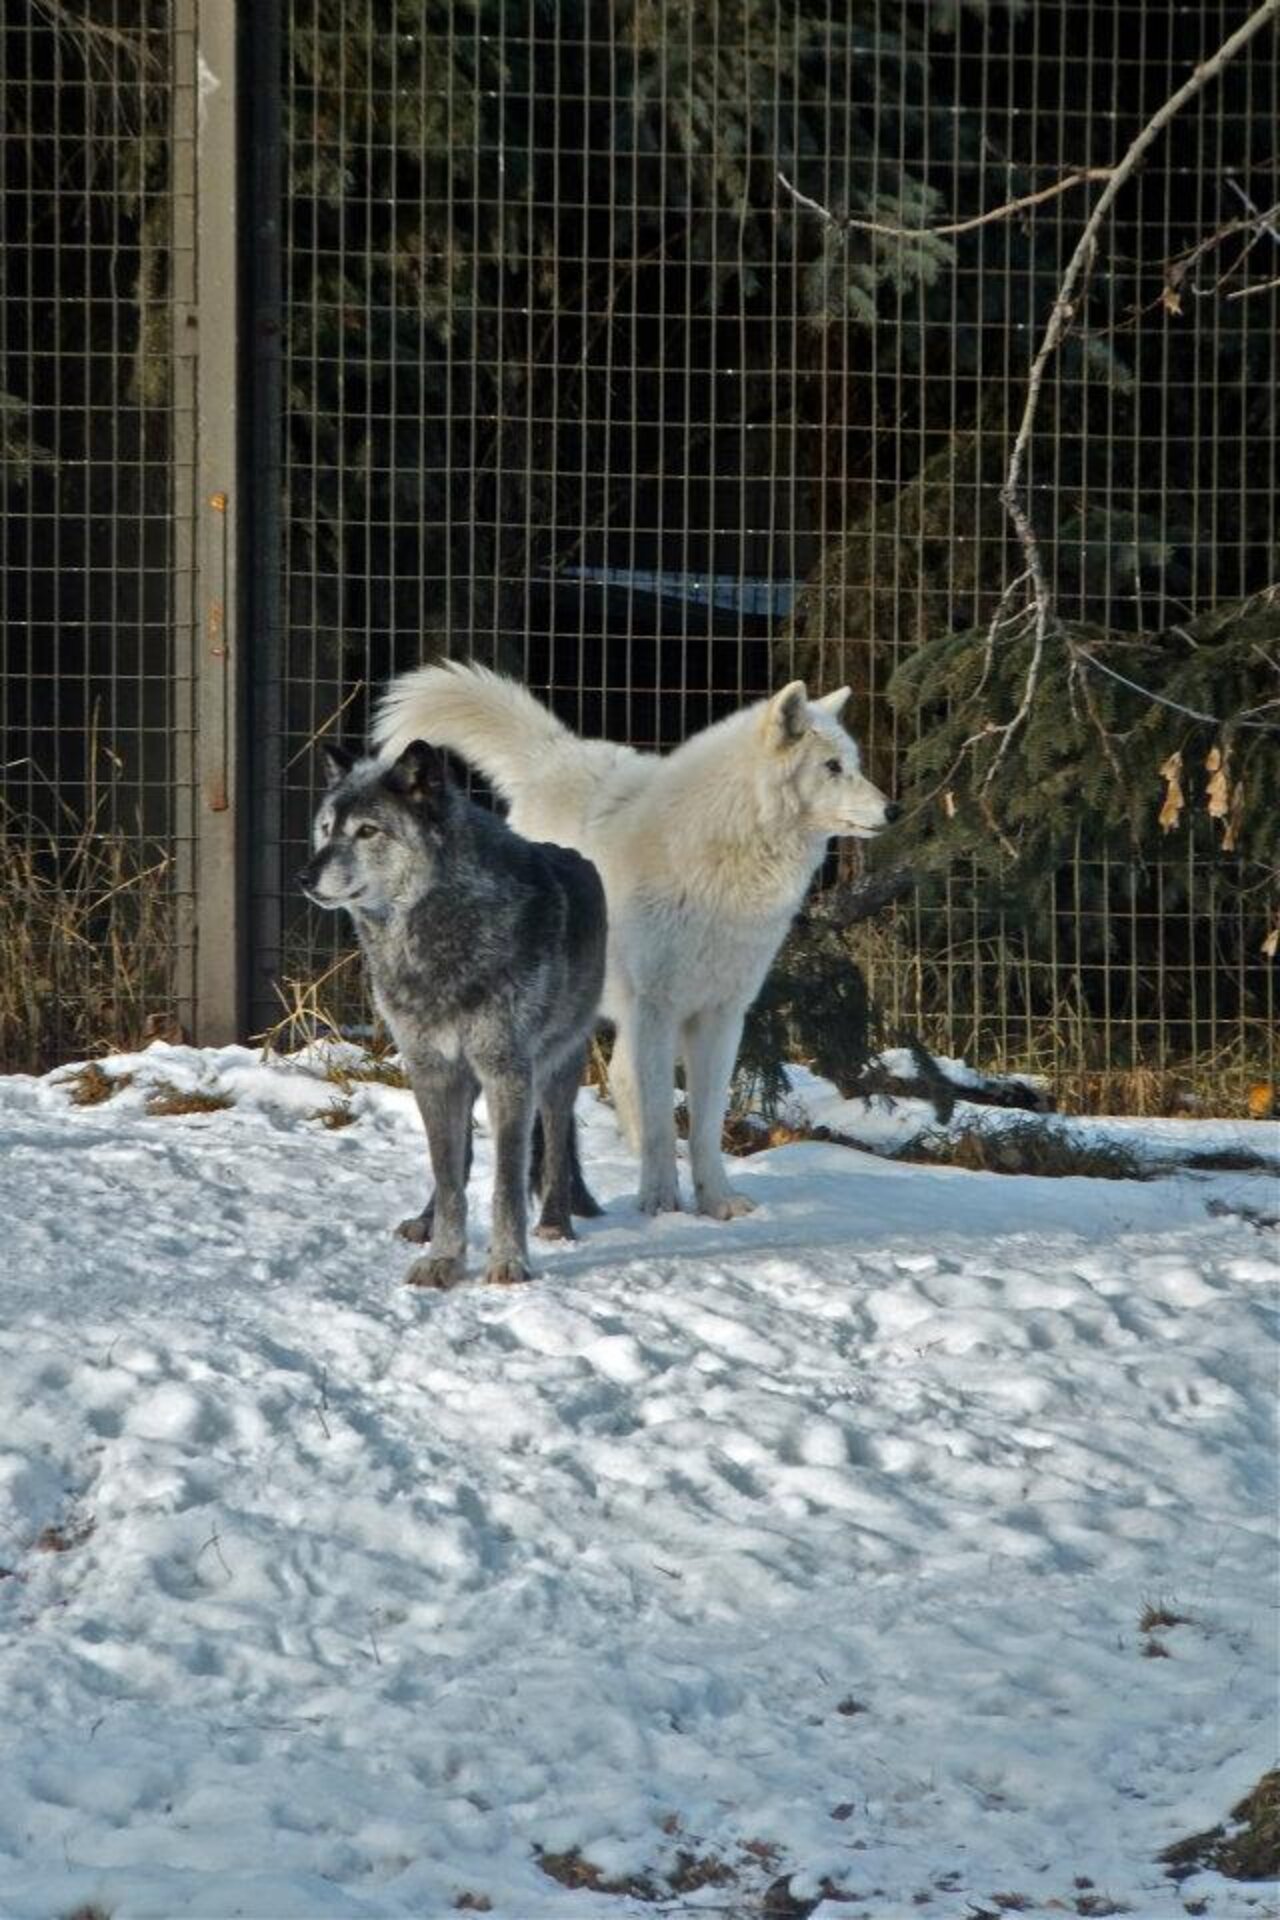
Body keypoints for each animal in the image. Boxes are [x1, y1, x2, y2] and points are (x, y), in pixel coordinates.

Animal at [298, 738, 607, 1289]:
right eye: (326, 828)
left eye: (367, 831)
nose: (304, 877)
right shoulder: (431, 1068)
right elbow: (447, 1175)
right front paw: (443, 1257)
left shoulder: (508, 1071)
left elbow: (508, 1181)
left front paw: (510, 1262)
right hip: (463, 1076)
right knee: (458, 1159)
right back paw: (424, 1221)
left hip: (557, 1067)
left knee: (555, 1141)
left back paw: (556, 1222)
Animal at [373, 666, 898, 1220]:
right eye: (832, 767)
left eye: (855, 765)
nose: (894, 809)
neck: (726, 857)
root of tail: (556, 752)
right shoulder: (658, 1009)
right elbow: (662, 1119)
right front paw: (661, 1202)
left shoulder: (722, 1014)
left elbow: (706, 1125)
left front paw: (716, 1202)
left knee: (621, 1080)